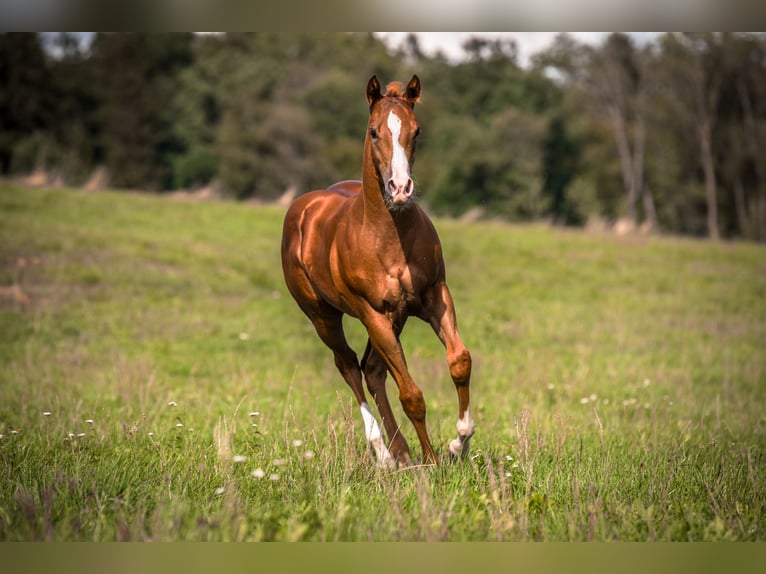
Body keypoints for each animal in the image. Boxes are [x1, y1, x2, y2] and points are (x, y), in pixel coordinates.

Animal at [280, 75, 474, 466]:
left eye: (416, 130)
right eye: (373, 131)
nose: (400, 189)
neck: (390, 237)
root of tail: (303, 207)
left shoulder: (434, 297)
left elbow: (460, 361)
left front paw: (458, 442)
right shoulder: (373, 313)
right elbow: (411, 395)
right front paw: (431, 461)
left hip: (394, 319)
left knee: (372, 370)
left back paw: (400, 451)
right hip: (323, 315)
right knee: (348, 365)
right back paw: (384, 453)